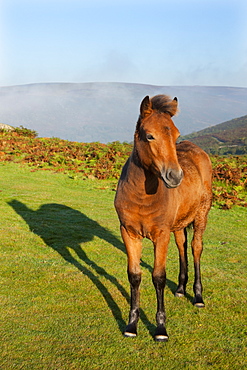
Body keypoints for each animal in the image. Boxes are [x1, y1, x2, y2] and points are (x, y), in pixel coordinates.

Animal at [114, 94, 212, 342]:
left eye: (176, 135)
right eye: (150, 135)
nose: (175, 176)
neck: (142, 196)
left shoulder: (160, 234)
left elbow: (158, 277)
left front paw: (160, 329)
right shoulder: (128, 232)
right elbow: (134, 275)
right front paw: (131, 325)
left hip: (201, 215)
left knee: (196, 247)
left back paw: (197, 297)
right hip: (177, 226)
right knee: (182, 246)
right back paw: (180, 289)